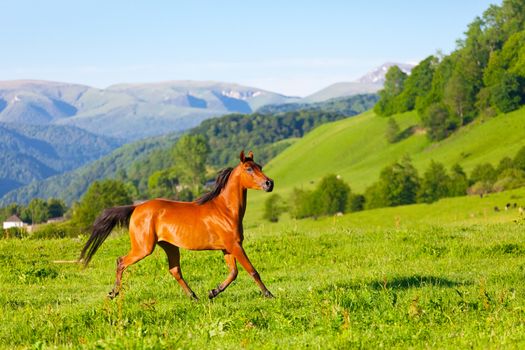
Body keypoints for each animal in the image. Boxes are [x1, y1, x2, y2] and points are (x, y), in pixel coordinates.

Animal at [79, 149, 274, 300]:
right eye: (249, 169)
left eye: (260, 167)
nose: (269, 183)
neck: (224, 210)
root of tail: (136, 208)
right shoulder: (234, 245)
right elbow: (252, 270)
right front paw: (269, 294)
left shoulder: (227, 248)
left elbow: (233, 273)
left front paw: (213, 292)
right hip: (144, 248)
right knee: (121, 262)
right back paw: (113, 293)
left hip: (170, 246)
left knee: (174, 270)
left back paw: (194, 297)